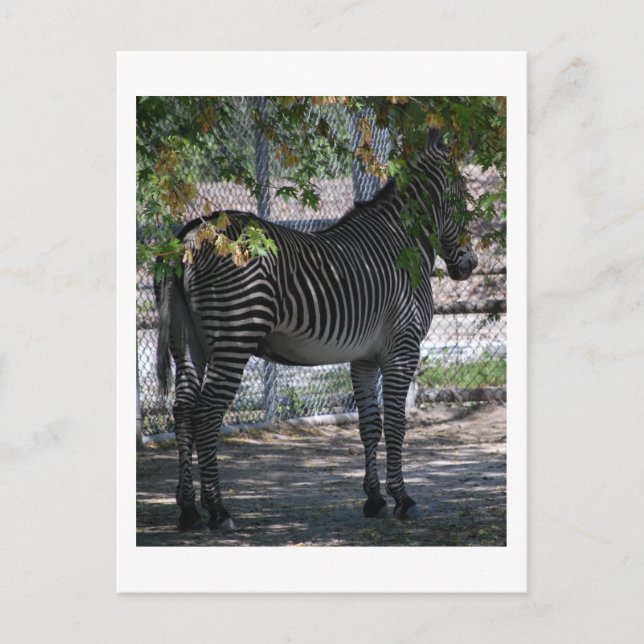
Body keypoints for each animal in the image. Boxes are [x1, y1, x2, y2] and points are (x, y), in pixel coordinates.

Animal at [155, 130, 478, 531]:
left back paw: (187, 510)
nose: (470, 266)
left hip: (188, 343)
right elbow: (396, 423)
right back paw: (218, 511)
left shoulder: (364, 358)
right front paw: (403, 499)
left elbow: (369, 425)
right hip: (234, 338)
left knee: (183, 410)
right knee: (206, 414)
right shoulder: (403, 349)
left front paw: (374, 500)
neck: (402, 242)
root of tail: (191, 234)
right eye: (464, 199)